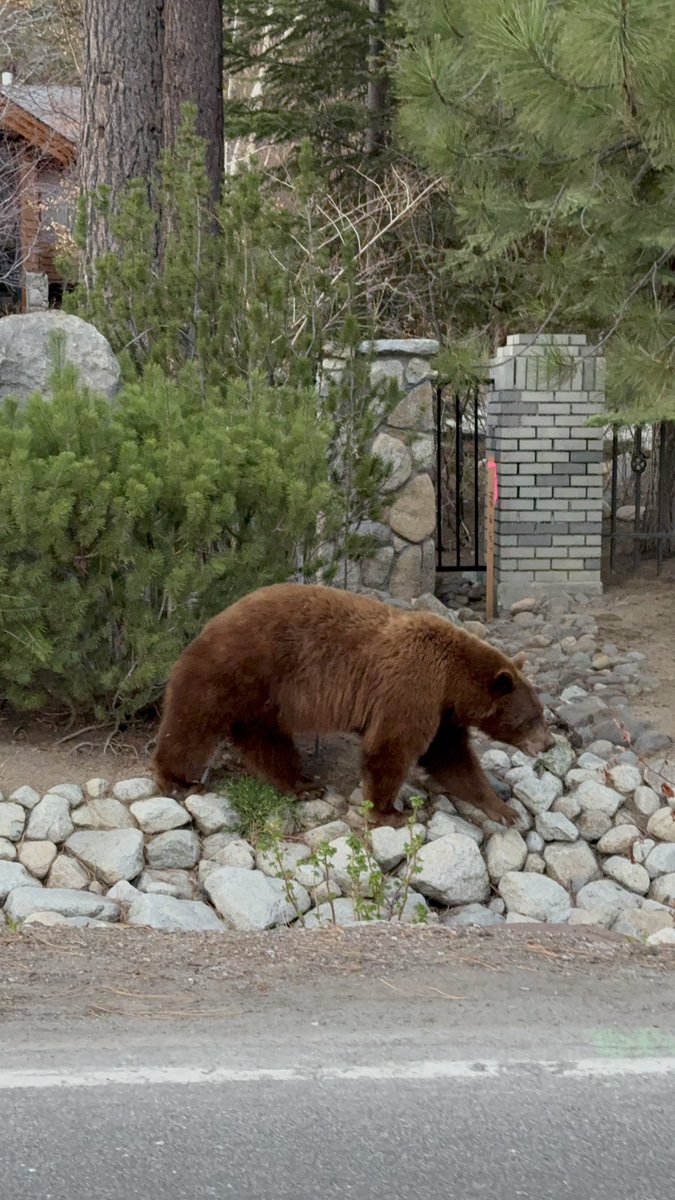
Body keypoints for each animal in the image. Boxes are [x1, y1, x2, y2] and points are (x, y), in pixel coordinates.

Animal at [151, 582, 554, 826]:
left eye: (541, 713)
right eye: (531, 718)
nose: (549, 742)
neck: (452, 681)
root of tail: (208, 623)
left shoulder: (442, 712)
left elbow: (452, 758)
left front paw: (503, 809)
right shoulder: (411, 686)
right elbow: (392, 747)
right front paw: (391, 811)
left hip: (263, 699)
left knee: (265, 739)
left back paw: (302, 783)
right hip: (237, 669)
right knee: (192, 722)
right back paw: (177, 780)